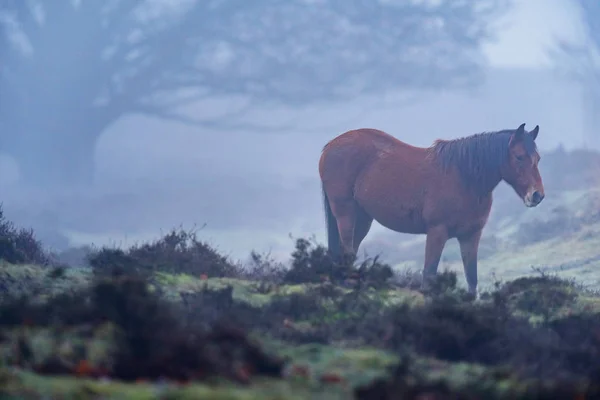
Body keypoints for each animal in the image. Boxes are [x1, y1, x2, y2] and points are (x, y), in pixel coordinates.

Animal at [322, 123, 548, 296]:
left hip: (363, 219)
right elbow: (429, 276)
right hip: (346, 213)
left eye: (538, 159)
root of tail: (328, 148)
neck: (465, 179)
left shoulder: (470, 236)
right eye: (519, 156)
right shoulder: (437, 232)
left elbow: (472, 279)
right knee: (347, 250)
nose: (537, 195)